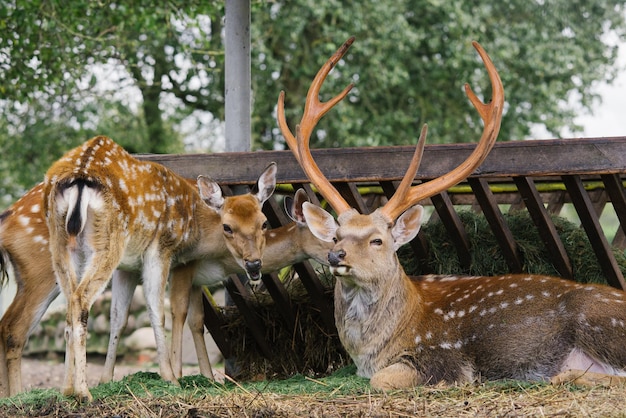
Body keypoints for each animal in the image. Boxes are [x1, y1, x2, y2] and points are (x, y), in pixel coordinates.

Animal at [39, 137, 272, 402]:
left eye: (264, 222)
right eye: (227, 227)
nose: (254, 264)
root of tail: (80, 178)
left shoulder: (128, 267)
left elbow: (121, 317)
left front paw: (106, 379)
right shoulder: (163, 250)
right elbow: (163, 311)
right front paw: (172, 376)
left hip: (62, 247)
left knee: (70, 304)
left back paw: (66, 389)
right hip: (108, 242)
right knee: (80, 300)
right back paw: (83, 391)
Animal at [280, 37, 626, 390]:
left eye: (378, 240)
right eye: (336, 236)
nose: (336, 255)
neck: (373, 350)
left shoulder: (442, 357)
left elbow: (381, 380)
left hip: (601, 322)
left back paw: (561, 375)